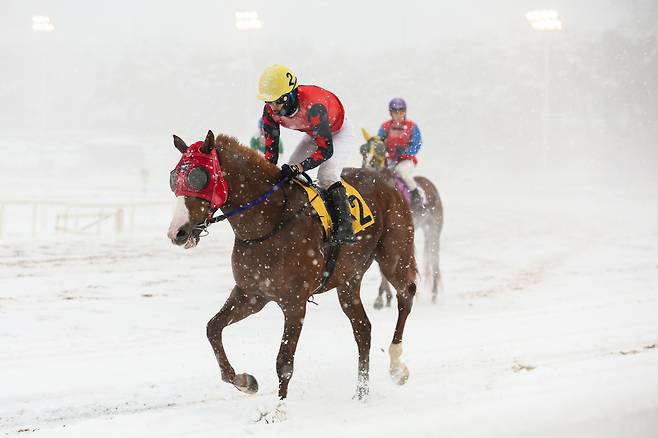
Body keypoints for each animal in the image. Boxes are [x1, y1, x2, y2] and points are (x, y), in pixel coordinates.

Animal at [168, 132, 416, 412]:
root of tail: (388, 183)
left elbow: (284, 361)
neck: (268, 222)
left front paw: (278, 412)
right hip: (348, 280)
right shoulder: (251, 295)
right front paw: (245, 382)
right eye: (174, 177)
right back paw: (362, 393)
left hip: (394, 257)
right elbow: (212, 328)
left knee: (406, 295)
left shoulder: (294, 302)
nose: (177, 232)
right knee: (363, 329)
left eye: (198, 177)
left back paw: (397, 367)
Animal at [358, 132, 440, 306]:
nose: (366, 167)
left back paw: (434, 294)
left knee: (434, 257)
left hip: (433, 229)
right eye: (363, 150)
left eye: (380, 151)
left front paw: (383, 297)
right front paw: (384, 296)